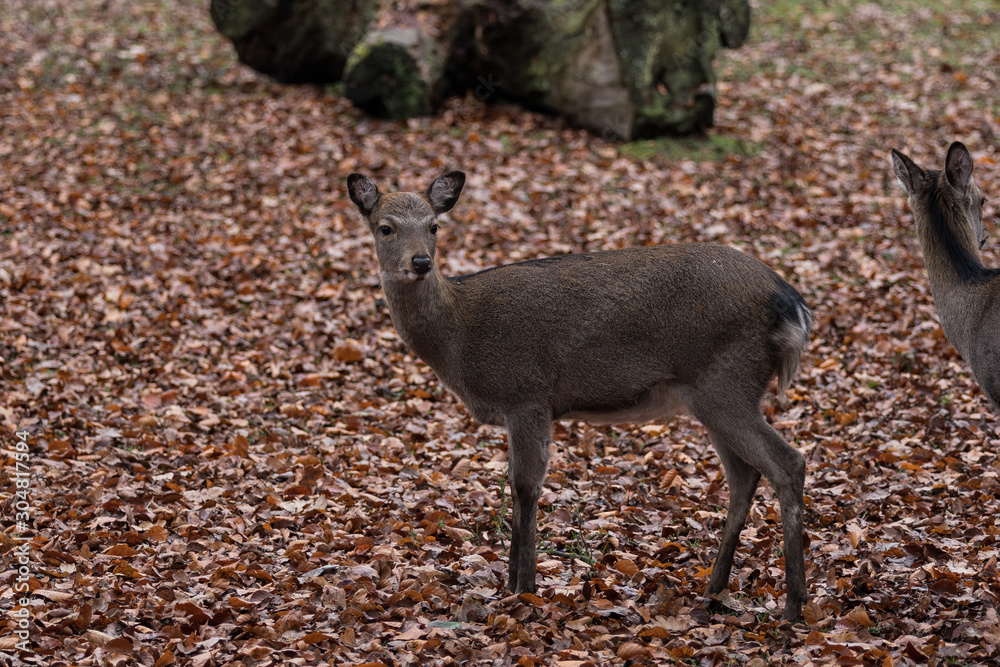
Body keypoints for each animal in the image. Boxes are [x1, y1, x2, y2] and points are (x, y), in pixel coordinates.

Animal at [347, 170, 813, 622]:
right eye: (386, 227)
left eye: (434, 226)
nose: (420, 261)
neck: (458, 341)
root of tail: (791, 306)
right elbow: (514, 484)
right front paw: (512, 582)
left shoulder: (526, 394)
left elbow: (525, 486)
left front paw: (524, 587)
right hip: (717, 395)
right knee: (745, 475)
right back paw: (714, 590)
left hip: (726, 382)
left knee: (788, 462)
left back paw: (793, 605)